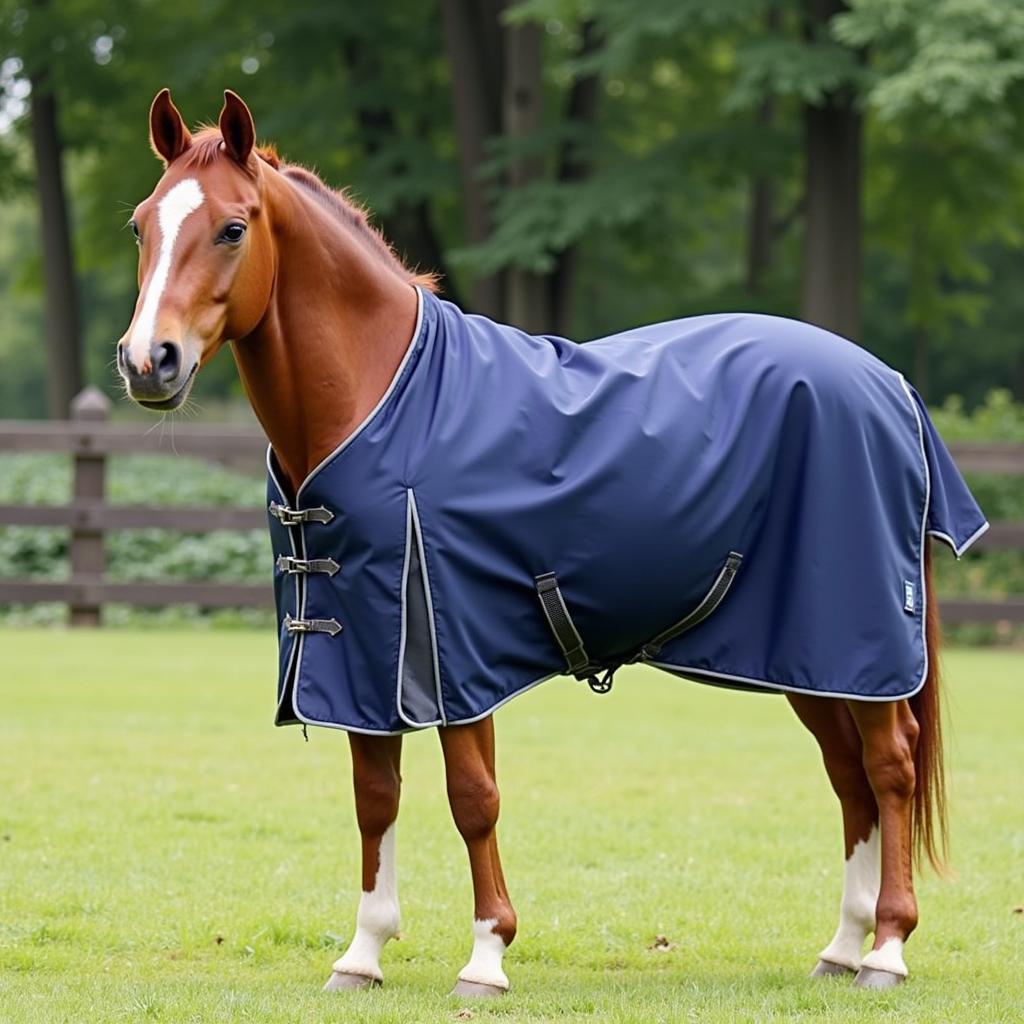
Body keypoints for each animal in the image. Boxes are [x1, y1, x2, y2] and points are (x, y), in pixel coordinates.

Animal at [116, 92, 987, 995]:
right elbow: (375, 796)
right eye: (140, 225)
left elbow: (473, 797)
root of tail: (891, 386)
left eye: (232, 228)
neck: (381, 396)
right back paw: (842, 948)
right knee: (849, 775)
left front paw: (486, 956)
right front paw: (362, 954)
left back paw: (887, 948)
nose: (148, 361)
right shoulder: (361, 652)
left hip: (859, 639)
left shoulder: (448, 650)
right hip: (804, 653)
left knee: (890, 766)